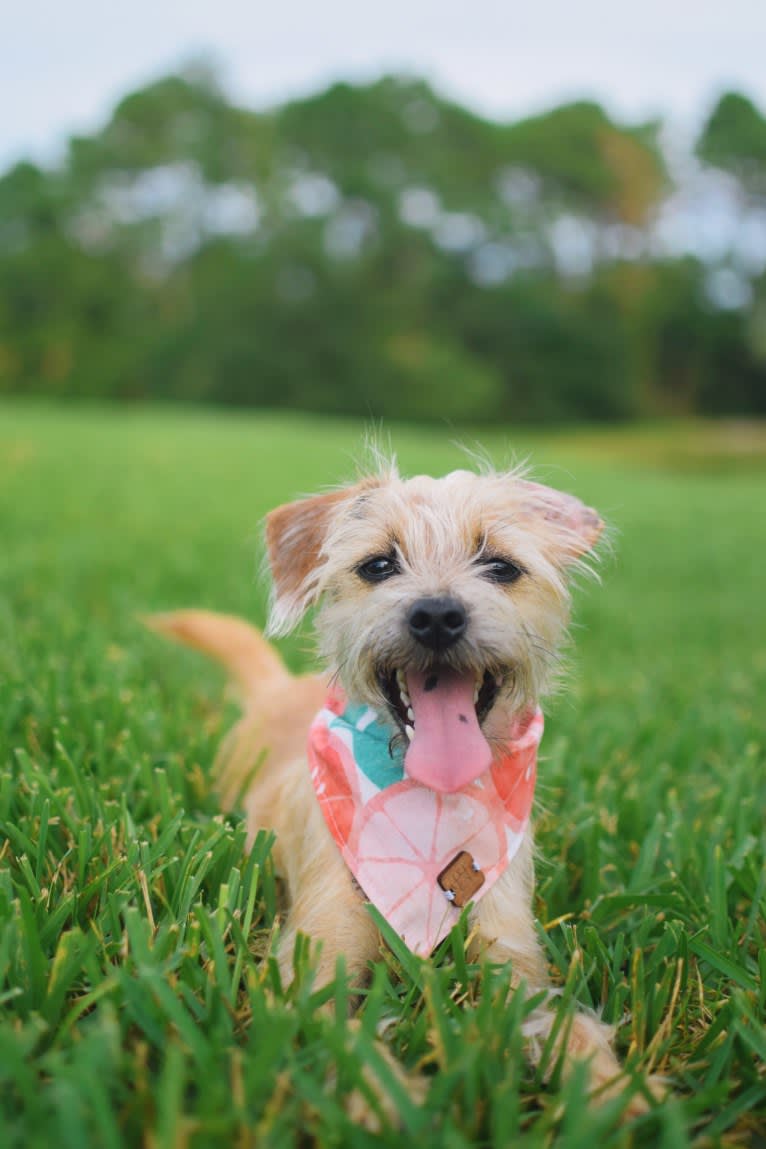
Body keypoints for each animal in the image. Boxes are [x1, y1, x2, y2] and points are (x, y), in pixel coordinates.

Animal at [151, 455, 661, 1112]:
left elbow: (559, 1018)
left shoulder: (510, 949)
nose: (437, 615)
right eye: (378, 565)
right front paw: (389, 1102)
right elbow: (347, 1037)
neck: (432, 802)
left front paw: (613, 1089)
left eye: (501, 566)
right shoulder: (315, 957)